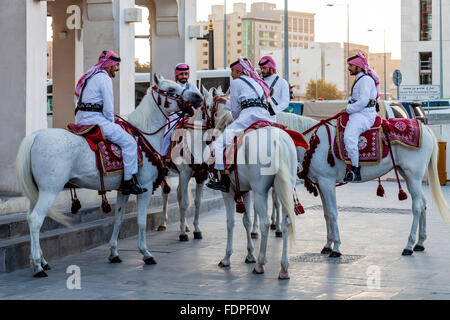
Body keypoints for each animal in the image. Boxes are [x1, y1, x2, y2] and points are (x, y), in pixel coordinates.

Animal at [15, 75, 202, 278]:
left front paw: (114, 253)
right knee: (36, 220)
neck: (143, 135)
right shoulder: (145, 189)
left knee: (30, 218)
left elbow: (118, 220)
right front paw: (146, 253)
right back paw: (37, 266)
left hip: (37, 191)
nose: (198, 97)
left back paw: (41, 261)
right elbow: (141, 222)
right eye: (171, 90)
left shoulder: (124, 190)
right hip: (50, 190)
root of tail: (35, 136)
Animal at [211, 92, 298, 278]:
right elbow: (247, 220)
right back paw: (284, 268)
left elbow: (231, 222)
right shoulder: (245, 190)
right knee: (286, 224)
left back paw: (260, 264)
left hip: (260, 192)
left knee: (265, 223)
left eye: (211, 110)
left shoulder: (229, 192)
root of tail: (277, 141)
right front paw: (250, 254)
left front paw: (227, 257)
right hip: (284, 188)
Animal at [276, 111, 448, 256]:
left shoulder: (327, 183)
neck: (312, 141)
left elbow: (332, 213)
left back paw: (409, 245)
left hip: (413, 176)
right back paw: (420, 243)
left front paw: (336, 247)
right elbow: (326, 214)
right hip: (407, 175)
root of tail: (426, 129)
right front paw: (328, 245)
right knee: (423, 203)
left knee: (417, 207)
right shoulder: (321, 184)